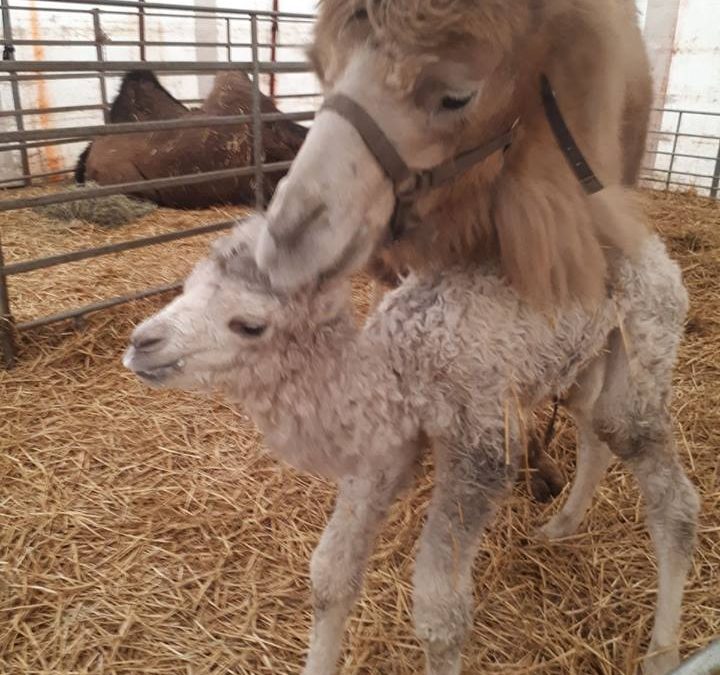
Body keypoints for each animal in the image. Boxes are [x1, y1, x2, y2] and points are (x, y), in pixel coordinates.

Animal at [124, 217, 696, 675]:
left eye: (249, 324)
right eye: (187, 286)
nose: (142, 343)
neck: (398, 370)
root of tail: (655, 247)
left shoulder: (481, 449)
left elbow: (440, 614)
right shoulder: (381, 453)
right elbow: (330, 576)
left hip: (645, 338)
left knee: (662, 484)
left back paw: (663, 652)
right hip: (585, 361)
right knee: (594, 432)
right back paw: (559, 526)